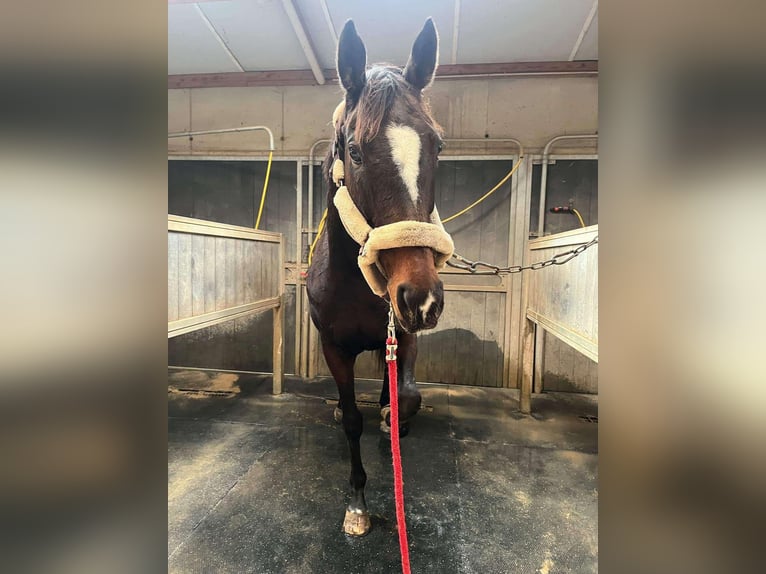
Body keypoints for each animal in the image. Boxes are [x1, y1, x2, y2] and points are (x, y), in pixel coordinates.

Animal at [306, 18, 453, 537]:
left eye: (437, 146)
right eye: (354, 150)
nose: (420, 297)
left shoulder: (403, 337)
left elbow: (407, 396)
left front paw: (395, 426)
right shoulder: (334, 347)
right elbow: (353, 419)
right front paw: (358, 502)